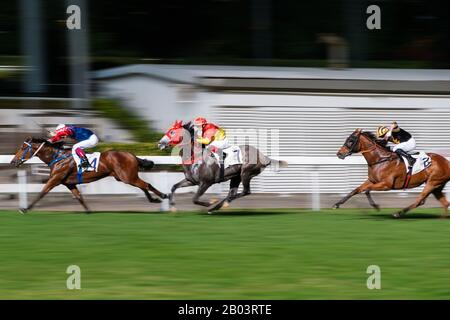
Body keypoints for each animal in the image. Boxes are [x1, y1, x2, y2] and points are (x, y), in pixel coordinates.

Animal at [9, 137, 168, 214]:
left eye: (23, 147)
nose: (13, 162)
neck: (57, 157)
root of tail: (132, 155)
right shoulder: (69, 183)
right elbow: (79, 196)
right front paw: (89, 211)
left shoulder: (55, 179)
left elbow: (42, 192)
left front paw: (25, 209)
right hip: (124, 177)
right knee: (143, 186)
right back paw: (153, 199)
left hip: (127, 177)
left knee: (146, 184)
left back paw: (163, 196)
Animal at [157, 120, 288, 212]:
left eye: (172, 132)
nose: (159, 143)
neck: (196, 156)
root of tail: (263, 156)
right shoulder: (191, 181)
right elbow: (174, 187)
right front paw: (172, 206)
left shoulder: (206, 182)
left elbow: (195, 198)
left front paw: (210, 203)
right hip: (236, 176)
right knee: (233, 193)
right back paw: (218, 206)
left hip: (246, 173)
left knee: (245, 191)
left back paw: (219, 205)